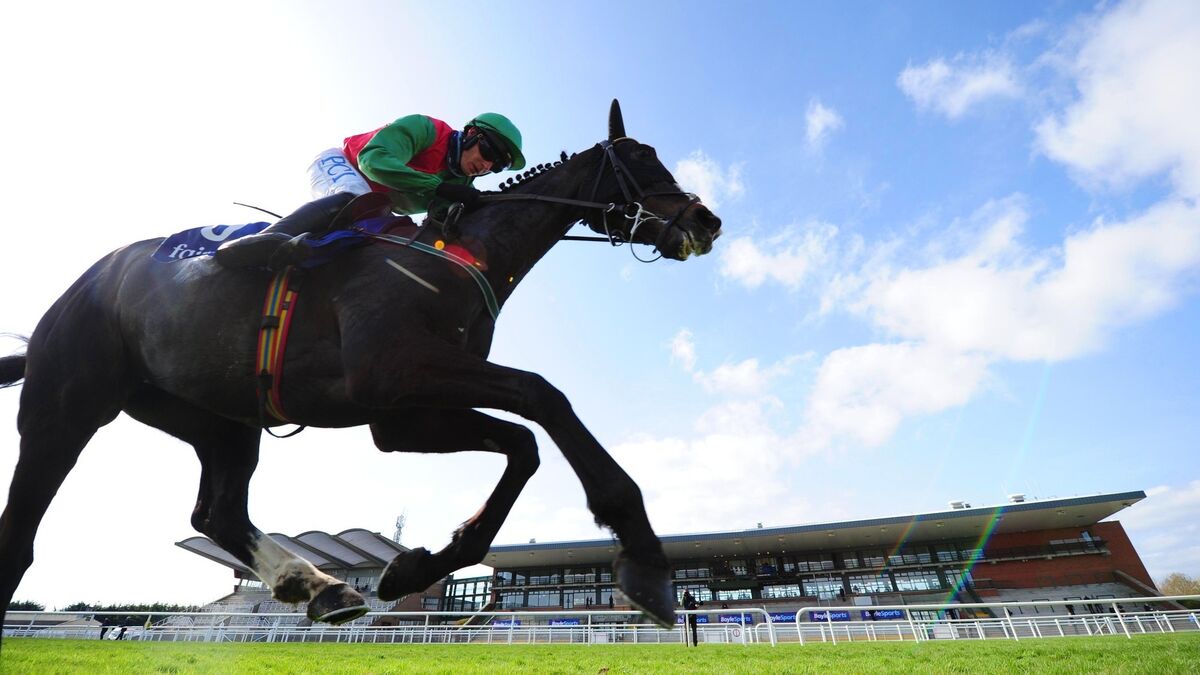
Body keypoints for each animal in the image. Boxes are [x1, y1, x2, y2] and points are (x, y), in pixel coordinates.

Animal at [0, 100, 722, 638]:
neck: (458, 251)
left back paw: (318, 585)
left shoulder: (403, 414)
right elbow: (544, 398)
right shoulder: (394, 373)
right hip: (66, 405)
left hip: (215, 415)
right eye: (640, 158)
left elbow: (522, 445)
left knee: (218, 512)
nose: (706, 218)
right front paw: (645, 559)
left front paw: (414, 568)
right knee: (21, 533)